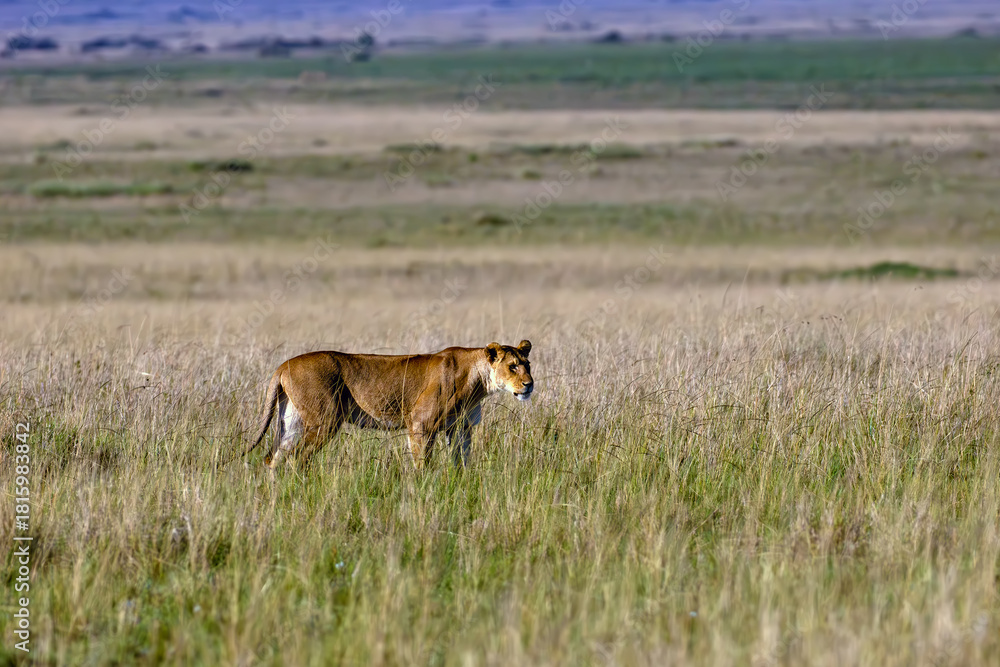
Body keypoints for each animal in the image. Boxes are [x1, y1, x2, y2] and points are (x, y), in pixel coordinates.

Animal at [236, 340, 533, 469]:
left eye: (528, 365)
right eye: (512, 366)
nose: (529, 384)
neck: (479, 381)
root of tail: (283, 364)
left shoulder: (461, 428)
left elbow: (462, 462)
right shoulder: (421, 424)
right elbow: (422, 463)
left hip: (293, 421)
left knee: (274, 457)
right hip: (324, 421)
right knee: (298, 458)